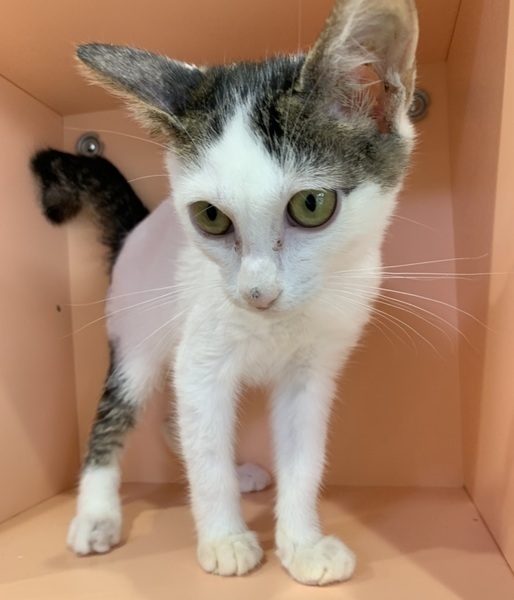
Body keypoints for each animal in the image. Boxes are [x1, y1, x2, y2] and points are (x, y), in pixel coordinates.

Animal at [33, 0, 418, 586]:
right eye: (210, 217)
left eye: (312, 205)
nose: (258, 292)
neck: (276, 324)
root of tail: (138, 227)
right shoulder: (201, 362)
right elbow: (204, 449)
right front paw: (225, 539)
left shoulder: (313, 372)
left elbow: (303, 456)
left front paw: (302, 544)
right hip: (136, 336)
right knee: (118, 418)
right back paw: (97, 514)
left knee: (177, 423)